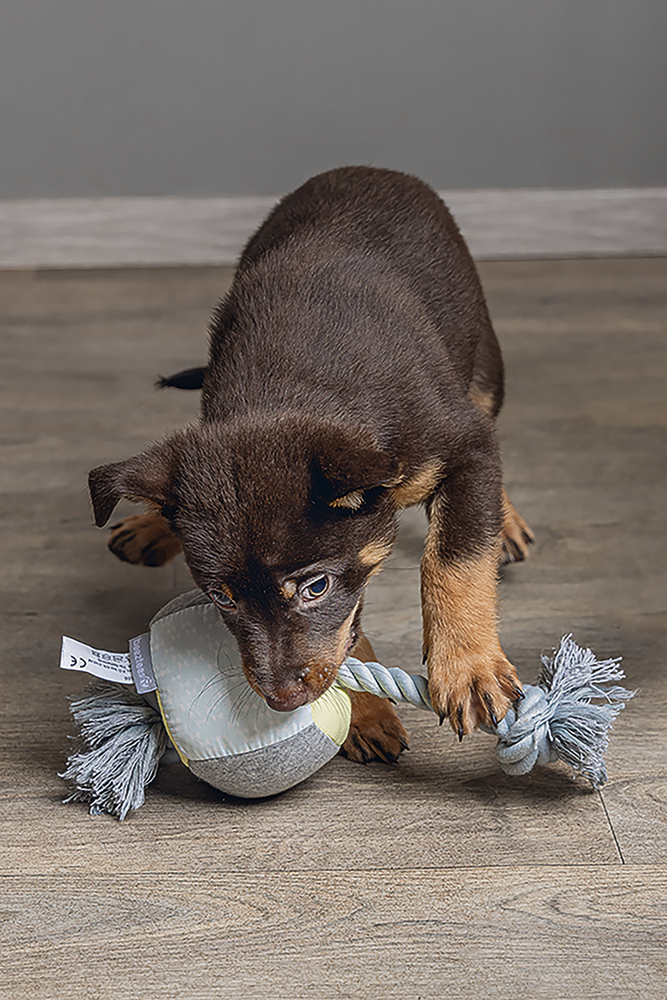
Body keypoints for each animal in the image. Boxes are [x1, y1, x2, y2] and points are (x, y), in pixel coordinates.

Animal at [88, 166, 532, 756]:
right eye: (221, 598)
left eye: (314, 587)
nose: (281, 701)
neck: (288, 391)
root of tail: (369, 169)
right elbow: (346, 633)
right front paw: (364, 712)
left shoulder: (464, 446)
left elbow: (454, 559)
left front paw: (468, 668)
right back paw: (154, 524)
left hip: (483, 368)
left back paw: (506, 522)